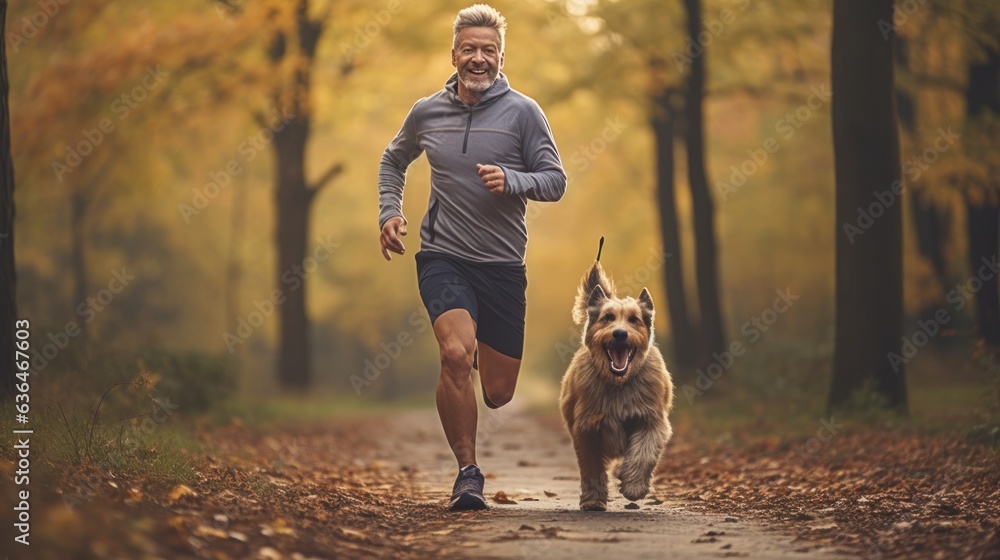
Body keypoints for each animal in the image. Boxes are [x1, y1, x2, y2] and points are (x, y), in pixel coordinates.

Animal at [560, 249, 676, 512]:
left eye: (633, 320)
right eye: (608, 317)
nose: (620, 334)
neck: (619, 383)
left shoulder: (651, 419)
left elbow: (644, 453)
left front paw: (634, 486)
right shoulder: (587, 428)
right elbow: (592, 467)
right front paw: (593, 499)